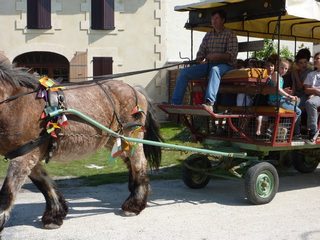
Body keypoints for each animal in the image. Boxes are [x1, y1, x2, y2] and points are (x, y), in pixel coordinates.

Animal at [0, 62, 162, 231]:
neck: (17, 105)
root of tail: (135, 89)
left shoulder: (24, 157)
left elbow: (7, 192)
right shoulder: (29, 155)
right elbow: (44, 183)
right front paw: (55, 214)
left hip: (132, 135)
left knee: (139, 163)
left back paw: (135, 204)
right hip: (116, 139)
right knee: (130, 162)